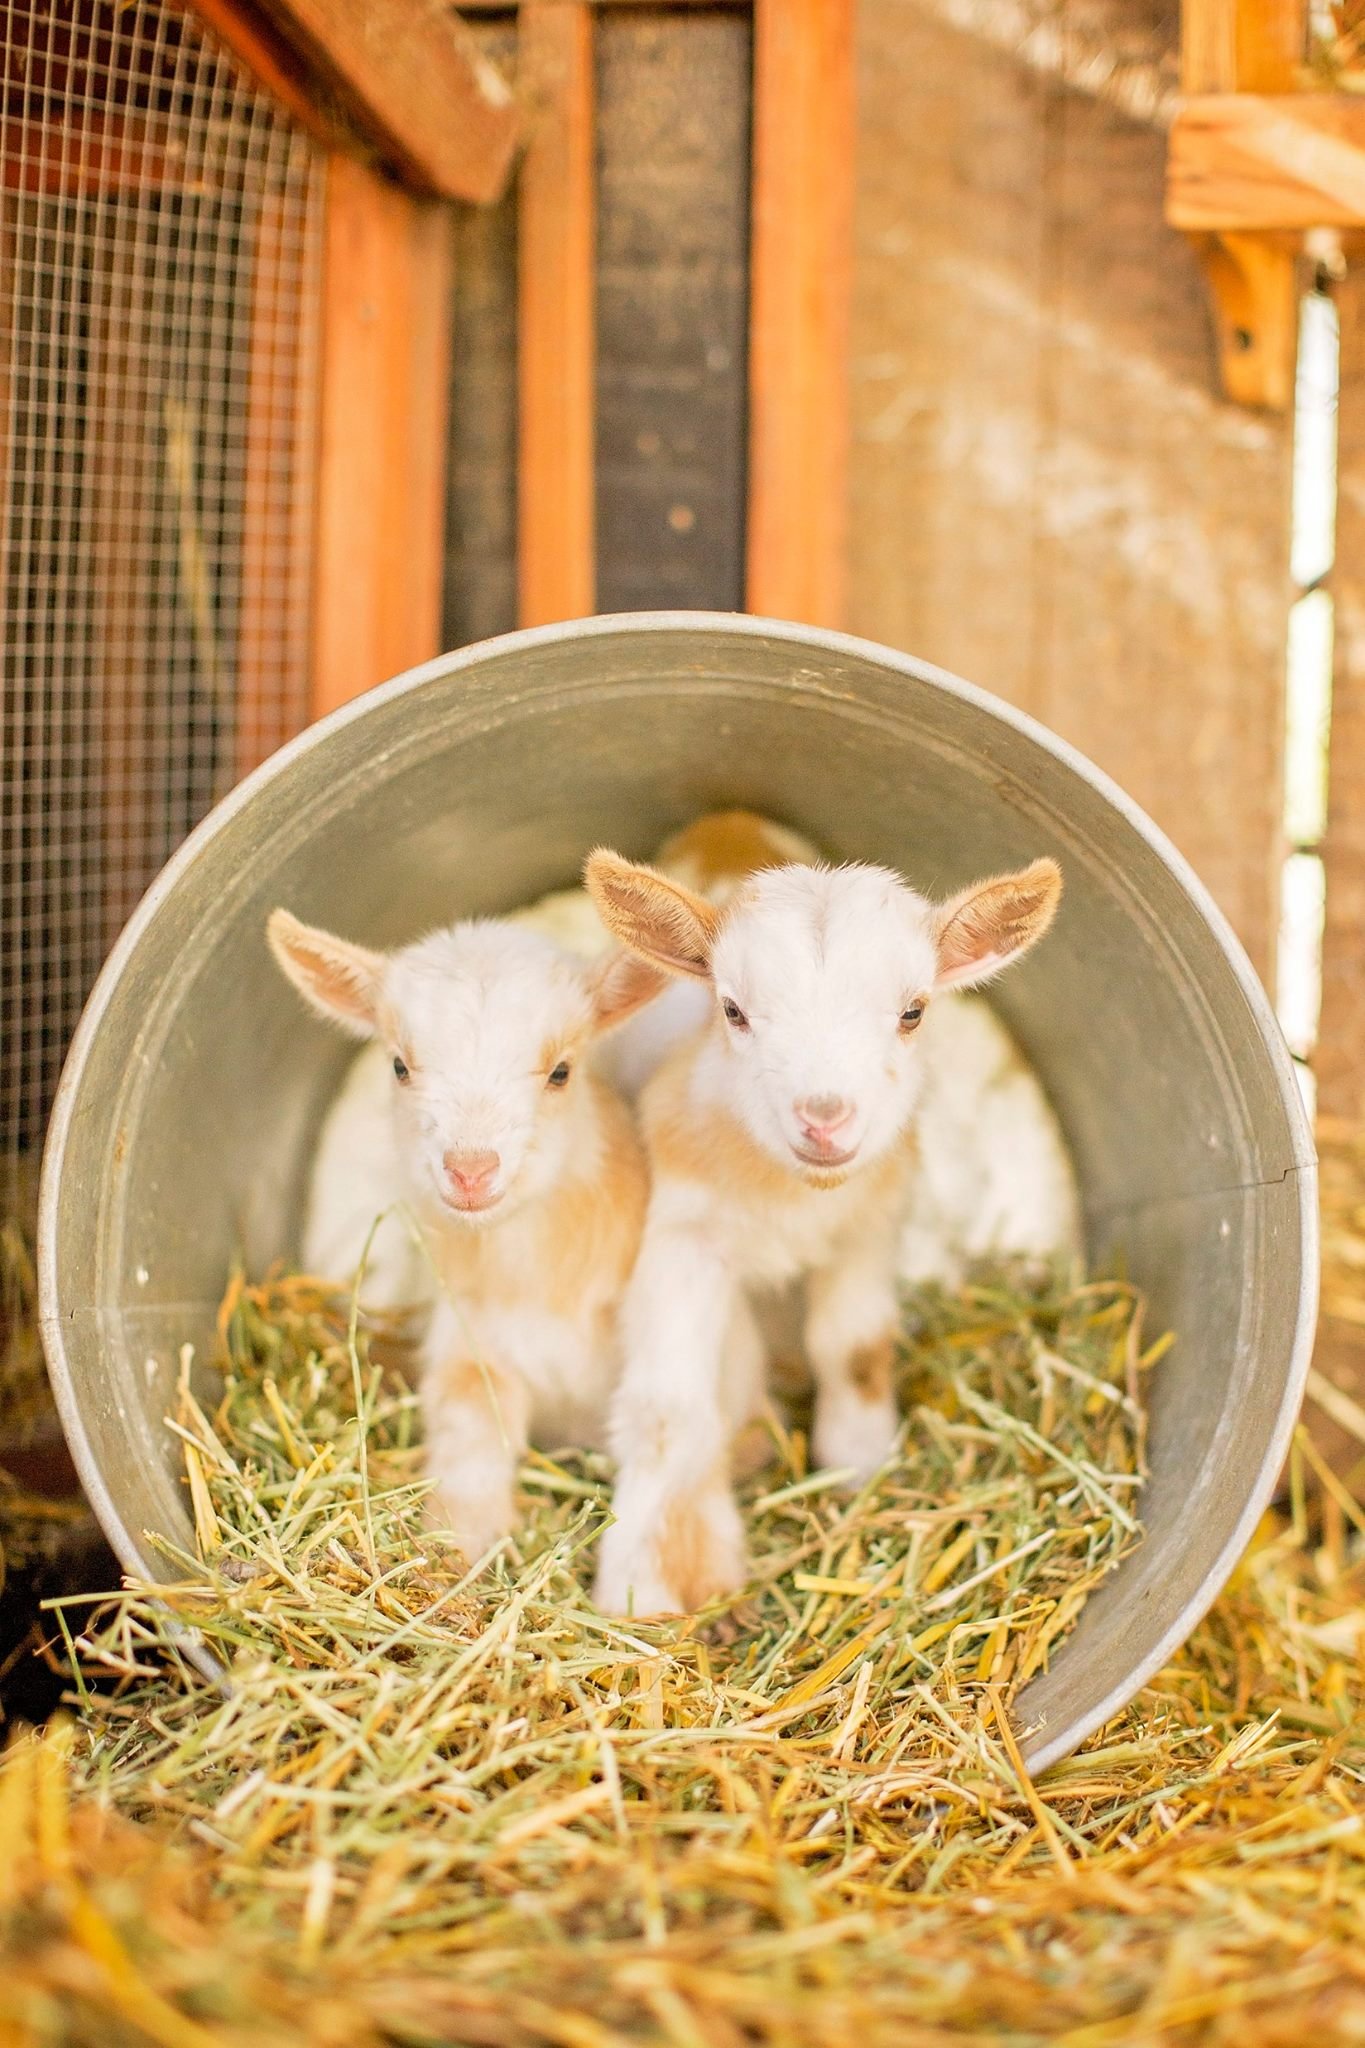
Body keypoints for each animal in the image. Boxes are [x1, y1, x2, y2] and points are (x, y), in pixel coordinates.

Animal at [266, 913, 663, 1548]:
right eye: (399, 1066)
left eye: (561, 1071)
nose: (471, 1171)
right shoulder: (469, 1347)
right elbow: (469, 1439)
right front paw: (456, 1550)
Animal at [581, 847, 1064, 1613]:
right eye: (732, 1010)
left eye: (913, 1011)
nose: (825, 1118)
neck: (794, 1196)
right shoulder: (683, 1237)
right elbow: (668, 1409)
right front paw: (647, 1584)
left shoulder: (868, 1225)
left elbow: (854, 1350)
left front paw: (858, 1461)